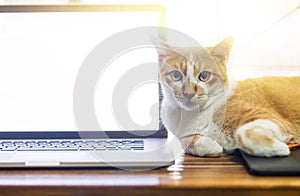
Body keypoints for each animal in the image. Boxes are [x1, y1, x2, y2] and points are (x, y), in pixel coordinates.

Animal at [155, 36, 300, 157]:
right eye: (176, 75)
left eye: (204, 76)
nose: (189, 93)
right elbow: (186, 141)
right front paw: (210, 146)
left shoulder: (271, 118)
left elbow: (243, 133)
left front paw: (280, 148)